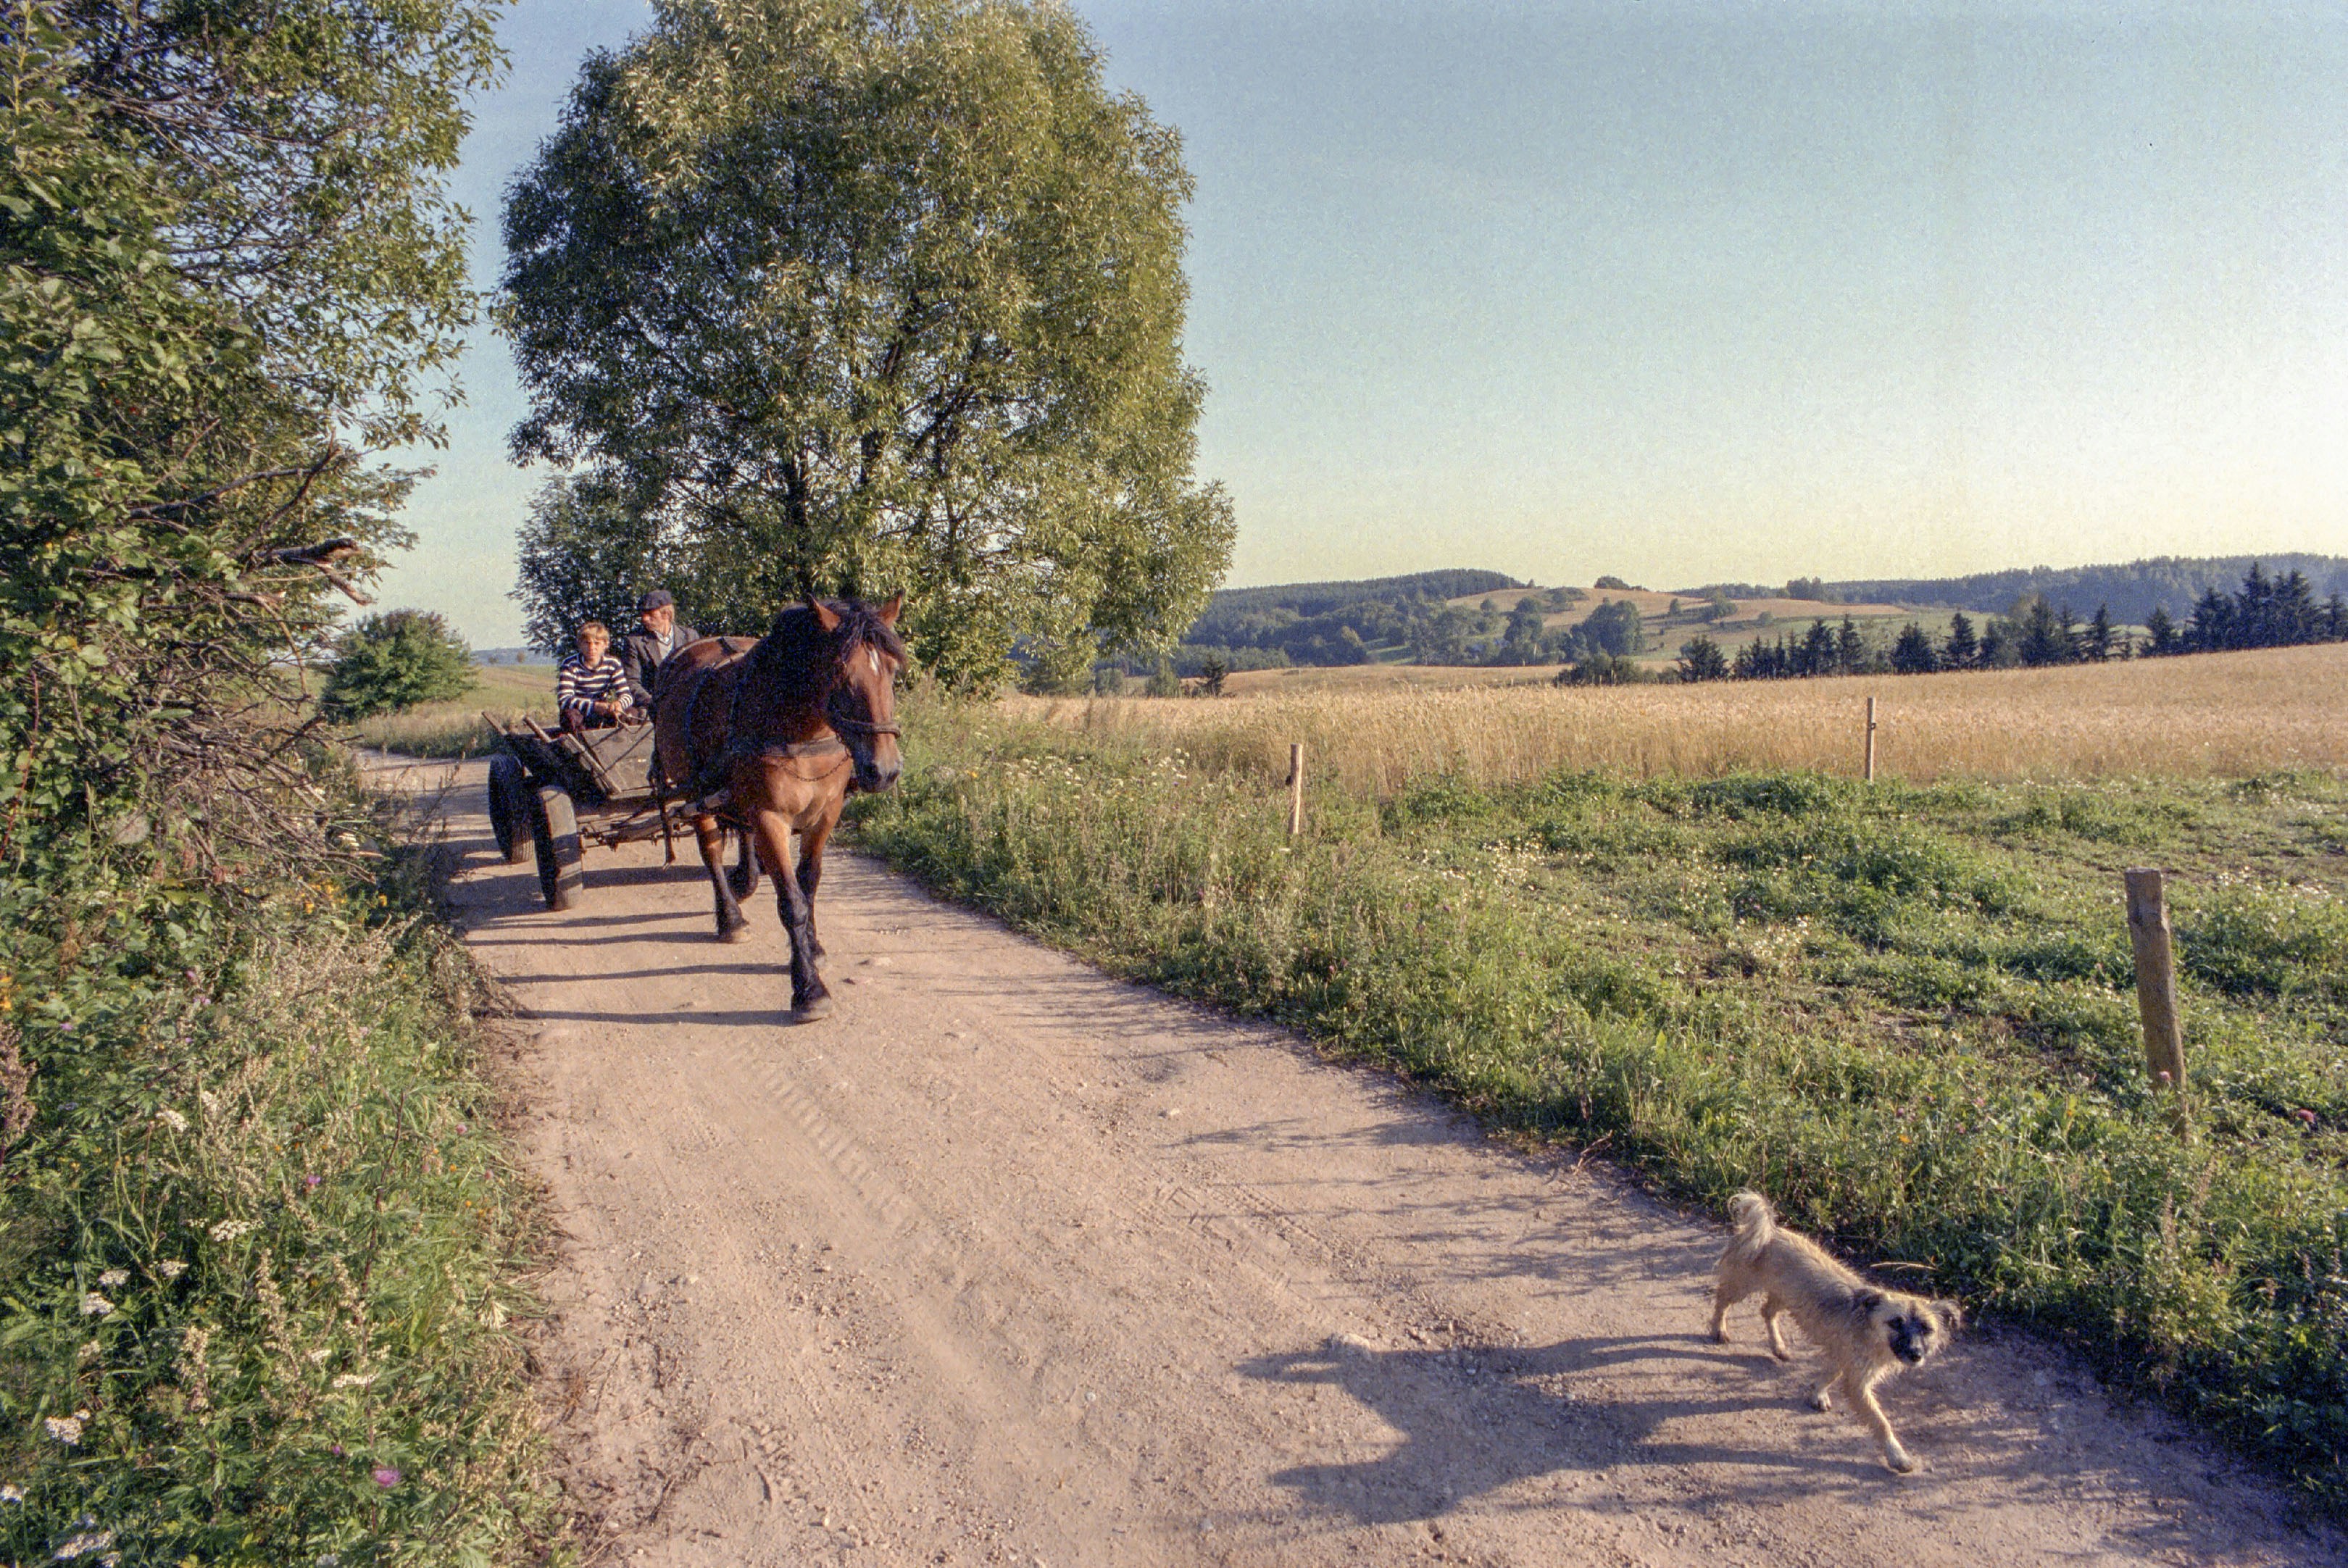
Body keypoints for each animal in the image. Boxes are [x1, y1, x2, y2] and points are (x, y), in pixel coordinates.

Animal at [653, 595, 905, 1020]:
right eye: (840, 671)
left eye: (891, 670)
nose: (883, 770)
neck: (799, 731)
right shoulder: (771, 818)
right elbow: (791, 902)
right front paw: (808, 989)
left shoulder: (826, 814)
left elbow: (809, 884)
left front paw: (813, 948)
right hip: (695, 791)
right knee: (711, 852)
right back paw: (730, 918)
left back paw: (746, 880)